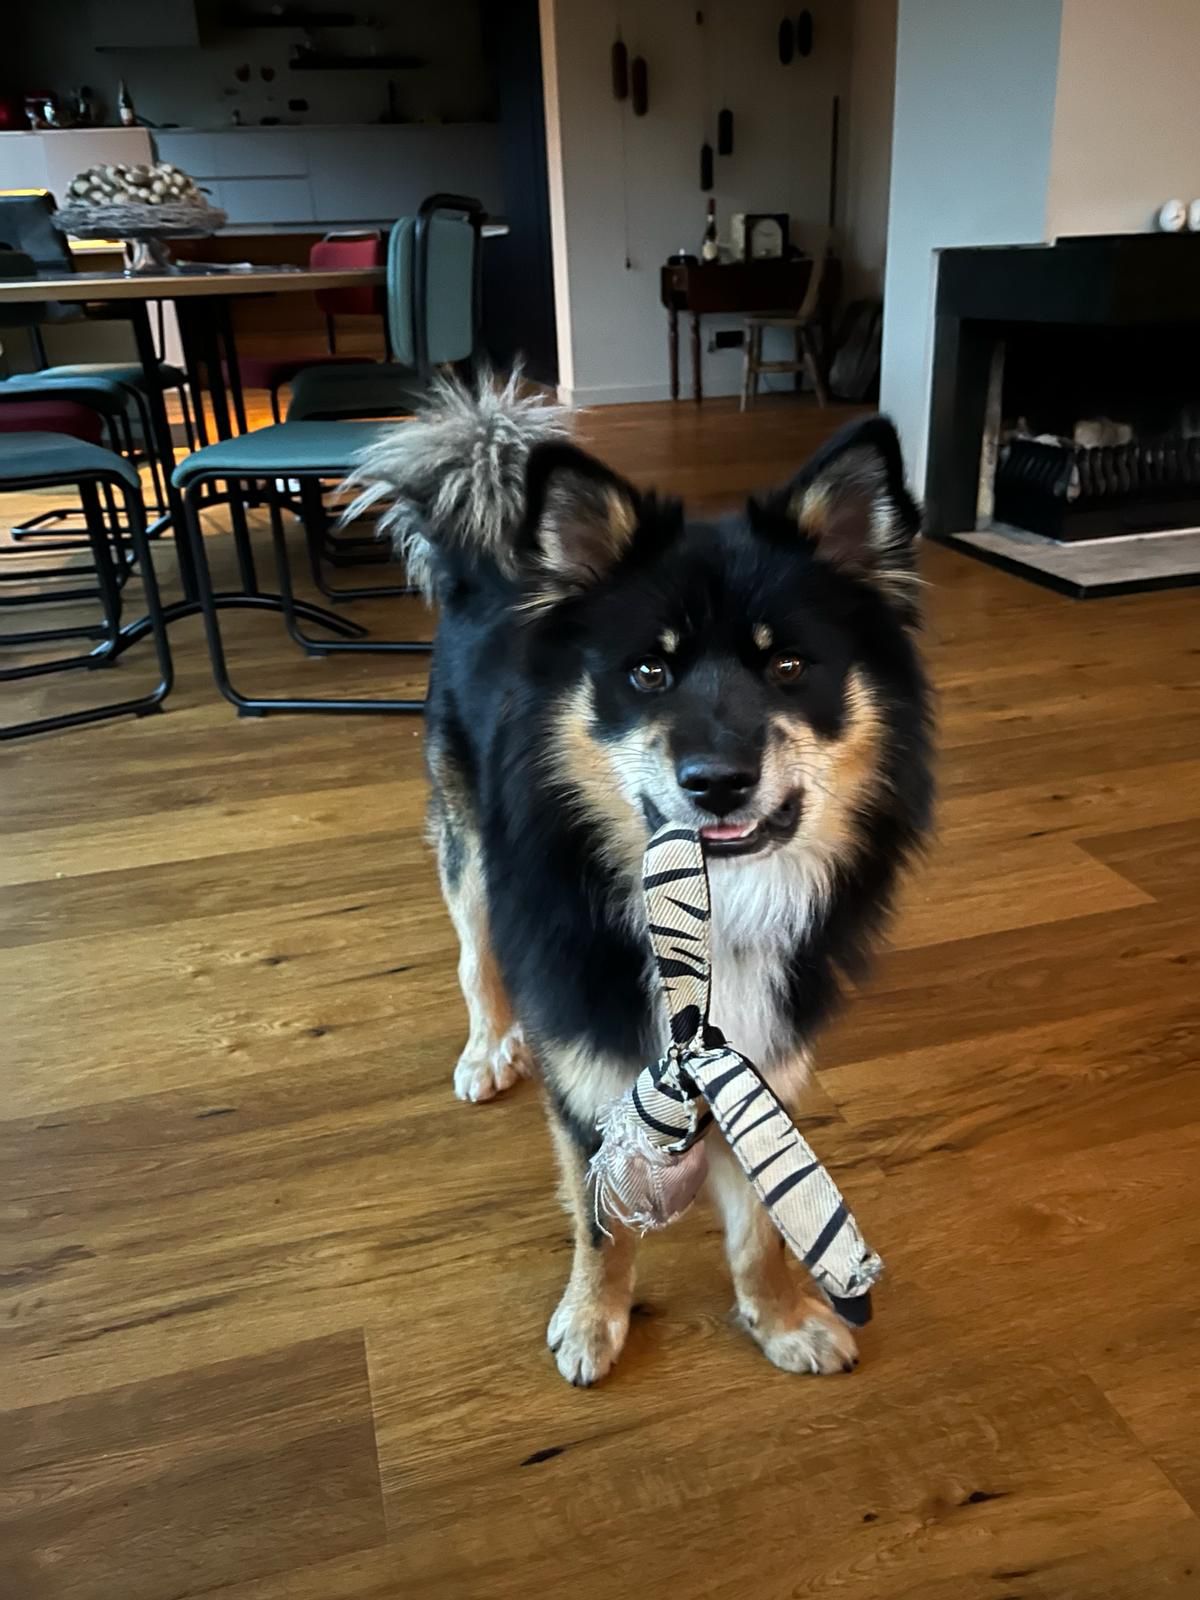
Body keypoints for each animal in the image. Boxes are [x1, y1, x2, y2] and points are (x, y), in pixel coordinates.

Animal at [348, 375, 934, 1386]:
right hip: (468, 851)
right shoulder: (590, 1072)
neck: (702, 914)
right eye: (650, 672)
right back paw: (487, 1048)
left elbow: (762, 1227)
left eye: (789, 665)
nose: (717, 782)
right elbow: (601, 1222)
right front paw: (594, 1319)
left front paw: (782, 1318)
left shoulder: (754, 1062)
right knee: (476, 956)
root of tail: (486, 568)